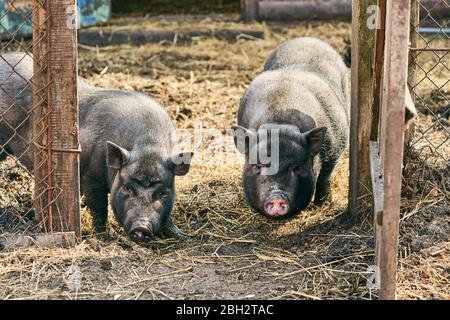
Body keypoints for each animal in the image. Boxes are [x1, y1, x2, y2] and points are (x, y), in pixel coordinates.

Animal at [0, 52, 192, 242]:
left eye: (162, 193)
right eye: (127, 188)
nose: (141, 227)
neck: (148, 146)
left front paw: (183, 235)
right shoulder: (91, 176)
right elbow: (99, 207)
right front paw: (103, 236)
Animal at [234, 36, 350, 219]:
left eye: (297, 167)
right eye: (258, 166)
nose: (276, 198)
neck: (279, 122)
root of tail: (306, 38)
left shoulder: (337, 147)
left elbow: (325, 178)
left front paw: (320, 205)